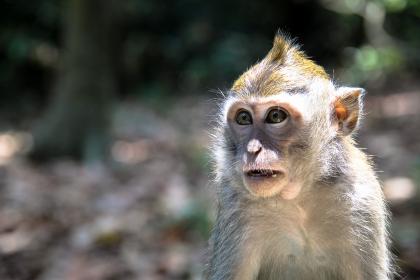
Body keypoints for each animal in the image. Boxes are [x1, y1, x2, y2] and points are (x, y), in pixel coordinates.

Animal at [205, 33, 392, 280]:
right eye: (244, 118)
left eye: (275, 116)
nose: (253, 149)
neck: (298, 197)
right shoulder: (235, 203)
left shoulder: (362, 202)